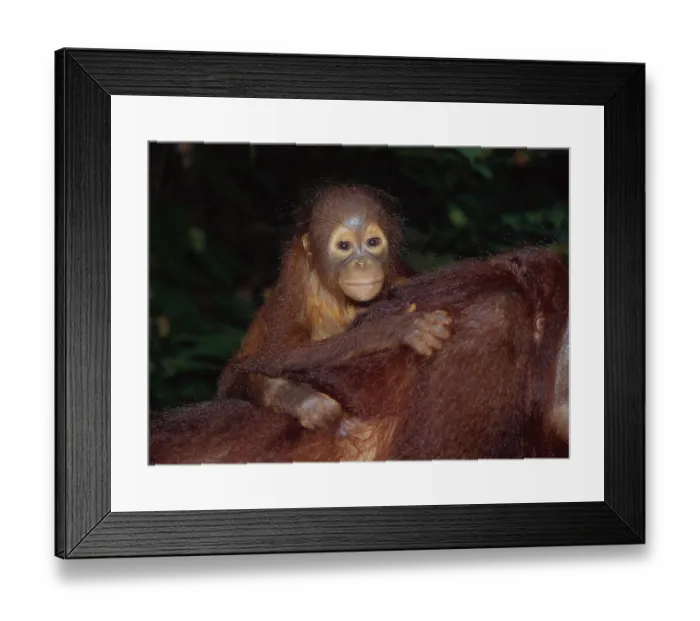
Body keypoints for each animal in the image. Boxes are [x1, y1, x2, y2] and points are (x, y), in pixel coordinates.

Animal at [216, 183, 453, 430]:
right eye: (343, 246)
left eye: (372, 242)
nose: (362, 264)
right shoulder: (294, 279)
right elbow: (279, 354)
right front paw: (394, 328)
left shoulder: (398, 271)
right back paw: (303, 401)